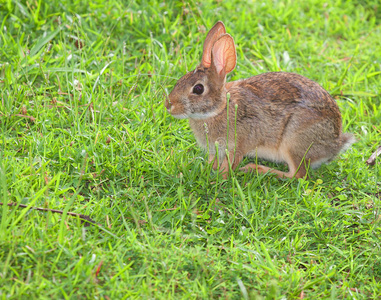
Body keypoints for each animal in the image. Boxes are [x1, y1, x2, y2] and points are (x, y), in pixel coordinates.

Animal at [163, 22, 354, 179]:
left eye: (198, 89)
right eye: (181, 79)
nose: (168, 105)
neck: (220, 109)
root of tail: (335, 143)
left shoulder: (237, 145)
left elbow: (230, 164)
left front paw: (218, 178)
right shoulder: (215, 149)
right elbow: (213, 161)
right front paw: (205, 170)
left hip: (293, 142)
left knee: (297, 175)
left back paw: (255, 169)